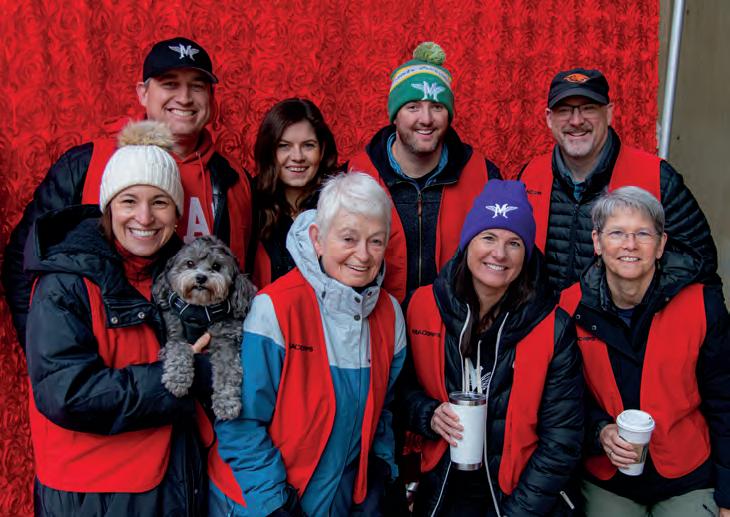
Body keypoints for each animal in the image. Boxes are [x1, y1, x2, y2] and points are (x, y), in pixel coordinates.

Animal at [153, 235, 256, 420]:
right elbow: (179, 349)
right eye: (189, 263)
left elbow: (228, 371)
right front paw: (177, 379)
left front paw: (226, 403)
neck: (199, 311)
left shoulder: (226, 341)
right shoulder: (175, 334)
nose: (201, 277)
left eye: (216, 266)